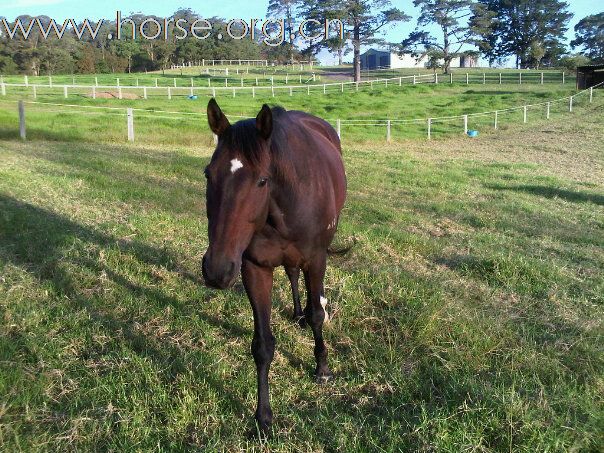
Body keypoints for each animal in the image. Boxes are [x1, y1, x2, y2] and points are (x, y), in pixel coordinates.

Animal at [202, 98, 346, 430]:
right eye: (207, 174)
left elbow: (318, 317)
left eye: (262, 180)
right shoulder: (254, 268)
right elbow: (263, 345)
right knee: (291, 273)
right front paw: (263, 417)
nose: (216, 270)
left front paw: (322, 368)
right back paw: (296, 312)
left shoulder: (316, 260)